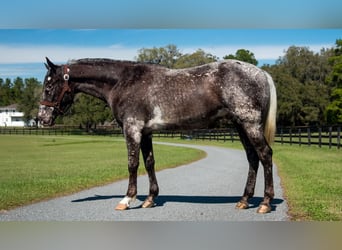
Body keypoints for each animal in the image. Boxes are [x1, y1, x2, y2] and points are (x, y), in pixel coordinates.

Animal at [38, 57, 278, 214]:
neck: (123, 82)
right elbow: (149, 163)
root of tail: (261, 73)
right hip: (240, 126)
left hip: (250, 124)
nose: (41, 119)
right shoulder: (145, 133)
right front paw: (150, 199)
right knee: (252, 158)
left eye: (49, 86)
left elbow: (133, 164)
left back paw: (265, 203)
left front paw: (127, 199)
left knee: (265, 155)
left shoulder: (132, 129)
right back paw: (244, 200)